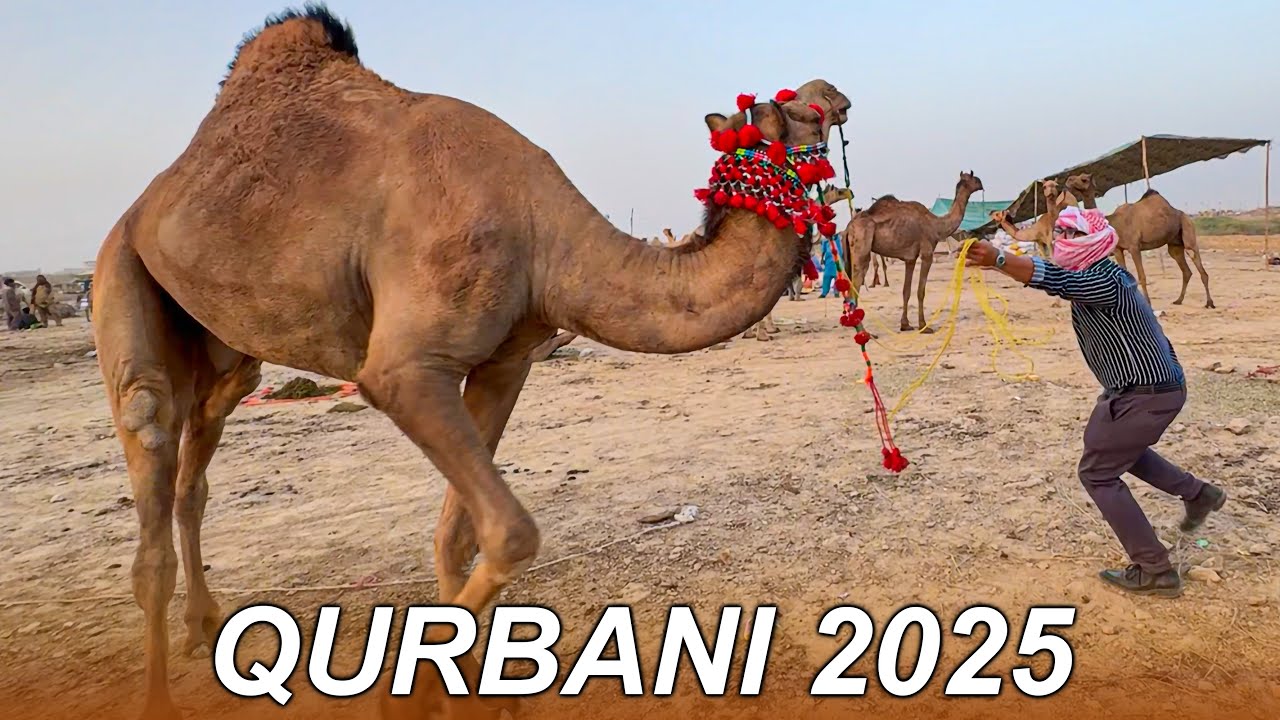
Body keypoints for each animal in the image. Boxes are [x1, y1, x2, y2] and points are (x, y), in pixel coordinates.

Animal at [89, 7, 849, 719]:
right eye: (799, 109)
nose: (836, 92)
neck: (546, 236)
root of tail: (144, 203)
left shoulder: (505, 362)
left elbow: (456, 536)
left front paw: (478, 693)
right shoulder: (403, 370)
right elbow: (510, 533)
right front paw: (415, 698)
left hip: (223, 345)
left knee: (198, 460)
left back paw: (203, 624)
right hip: (119, 266)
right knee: (149, 426)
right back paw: (159, 693)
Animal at [848, 171, 984, 332]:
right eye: (973, 177)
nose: (981, 183)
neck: (936, 225)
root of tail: (849, 226)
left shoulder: (910, 259)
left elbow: (906, 291)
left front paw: (905, 325)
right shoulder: (927, 254)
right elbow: (921, 291)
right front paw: (924, 325)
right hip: (861, 248)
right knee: (855, 286)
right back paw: (863, 330)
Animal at [1066, 174, 1213, 307]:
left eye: (1084, 179)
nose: (1068, 180)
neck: (1112, 222)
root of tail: (1184, 215)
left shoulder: (1134, 247)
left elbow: (1141, 276)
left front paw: (1148, 303)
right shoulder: (1118, 249)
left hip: (1188, 231)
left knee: (1200, 268)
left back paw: (1209, 303)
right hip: (1174, 244)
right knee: (1186, 270)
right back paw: (1178, 300)